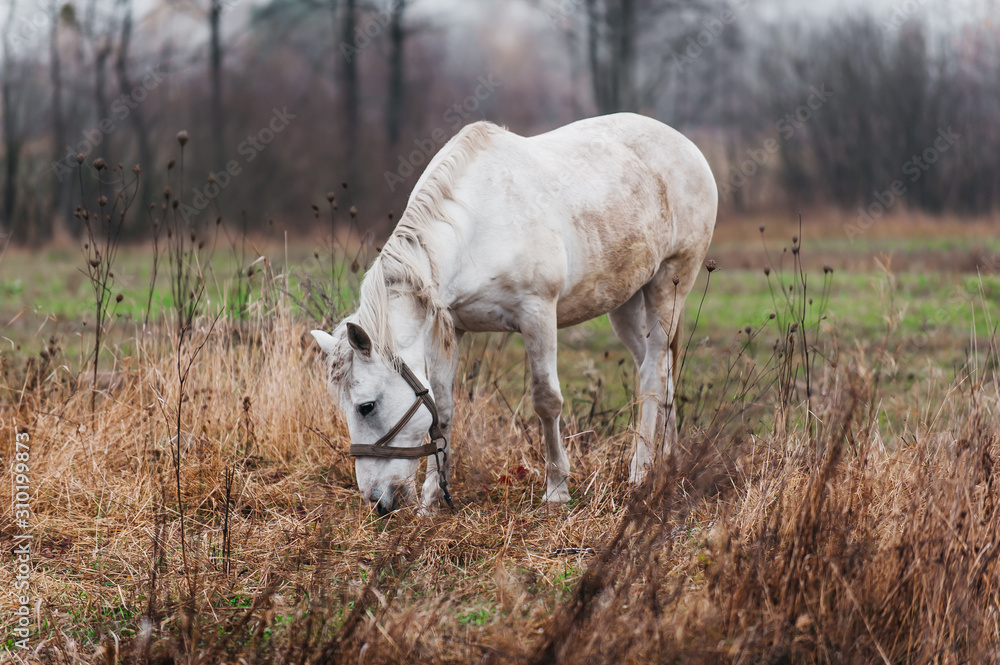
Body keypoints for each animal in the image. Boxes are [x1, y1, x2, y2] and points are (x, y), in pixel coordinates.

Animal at [311, 112, 718, 515]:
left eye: (366, 407)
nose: (378, 500)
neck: (475, 228)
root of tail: (686, 146)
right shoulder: (448, 328)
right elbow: (442, 408)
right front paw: (431, 500)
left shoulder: (537, 313)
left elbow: (547, 401)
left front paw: (557, 489)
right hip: (627, 302)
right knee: (661, 370)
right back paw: (670, 460)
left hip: (669, 283)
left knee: (652, 376)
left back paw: (640, 471)